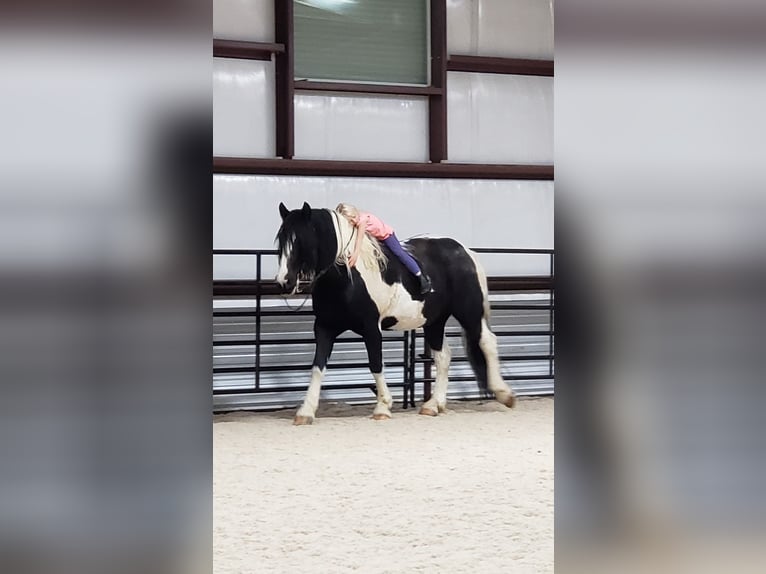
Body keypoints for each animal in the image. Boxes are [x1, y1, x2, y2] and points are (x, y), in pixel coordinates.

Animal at [276, 201, 516, 424]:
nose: (283, 282)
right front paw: (305, 412)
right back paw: (433, 405)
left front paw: (383, 407)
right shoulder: (325, 327)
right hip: (435, 321)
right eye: (281, 240)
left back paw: (504, 394)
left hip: (469, 312)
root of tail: (466, 251)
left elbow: (376, 363)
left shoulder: (371, 328)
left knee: (486, 341)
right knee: (443, 357)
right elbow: (317, 367)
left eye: (299, 240)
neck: (346, 276)